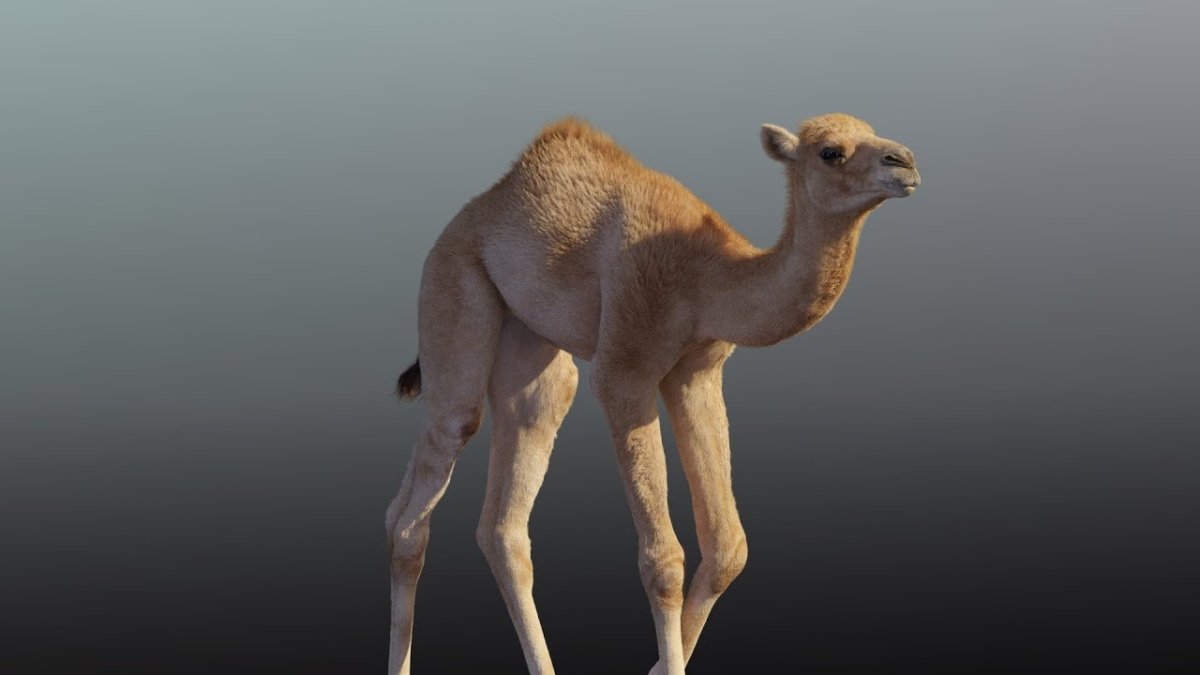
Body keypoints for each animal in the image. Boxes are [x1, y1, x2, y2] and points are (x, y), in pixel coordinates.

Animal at [386, 113, 920, 674]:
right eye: (830, 152)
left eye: (873, 130)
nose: (904, 162)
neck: (709, 275)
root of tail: (473, 211)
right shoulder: (628, 366)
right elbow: (663, 561)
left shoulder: (697, 372)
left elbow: (727, 546)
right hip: (454, 280)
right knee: (436, 469)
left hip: (528, 340)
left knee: (500, 510)